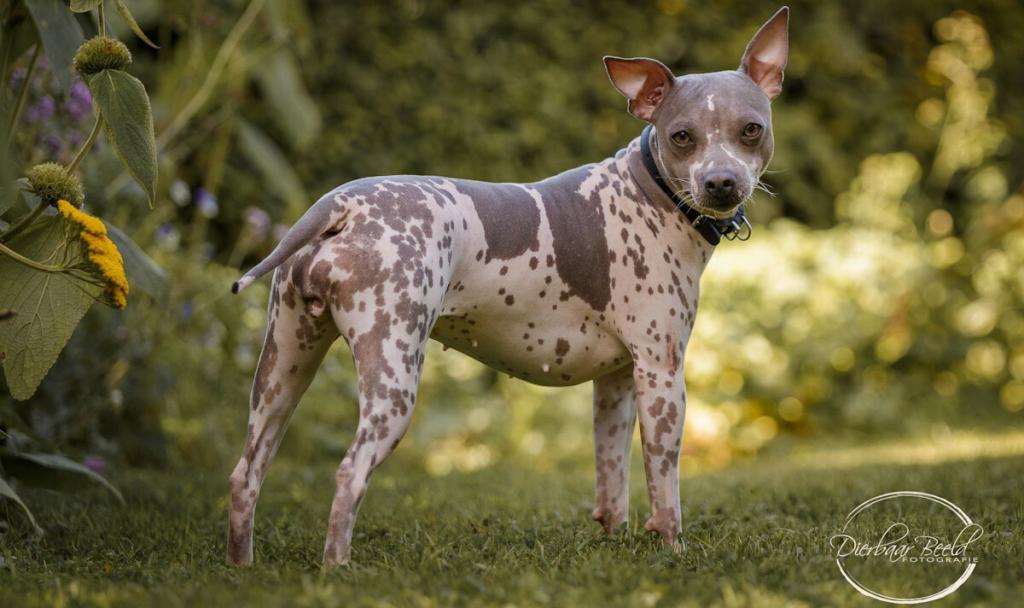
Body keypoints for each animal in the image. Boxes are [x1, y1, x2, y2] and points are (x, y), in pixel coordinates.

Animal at [228, 7, 786, 565]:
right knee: (348, 473)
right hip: (392, 379)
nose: (721, 183)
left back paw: (242, 566)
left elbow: (611, 480)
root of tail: (341, 204)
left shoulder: (617, 383)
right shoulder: (662, 376)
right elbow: (664, 487)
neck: (651, 193)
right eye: (682, 137)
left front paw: (614, 543)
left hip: (283, 370)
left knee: (245, 474)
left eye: (750, 130)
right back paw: (337, 568)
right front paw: (672, 550)